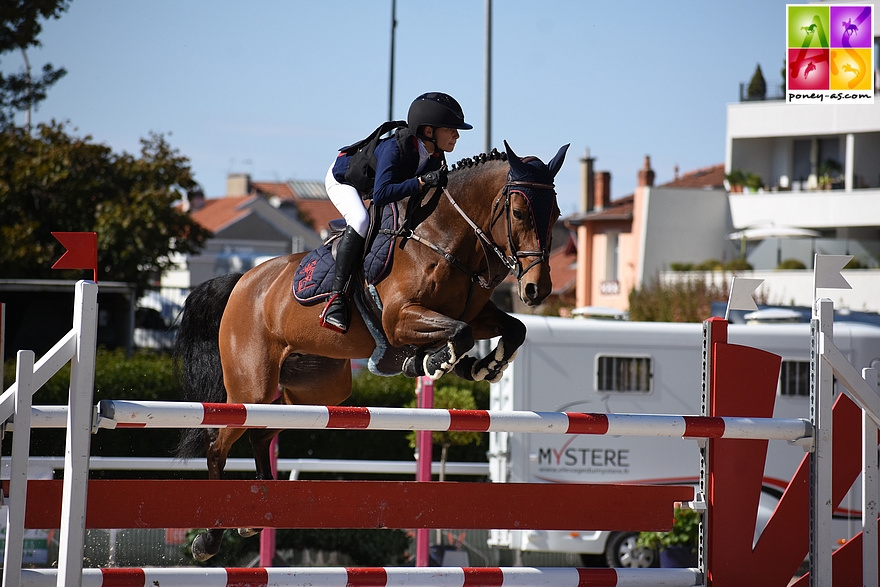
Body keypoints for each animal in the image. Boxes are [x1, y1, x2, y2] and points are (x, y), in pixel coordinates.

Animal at [173, 140, 572, 564]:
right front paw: (432, 360)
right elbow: (458, 335)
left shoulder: (474, 313)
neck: (445, 236)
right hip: (252, 387)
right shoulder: (399, 318)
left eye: (557, 214)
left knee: (262, 434)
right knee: (218, 443)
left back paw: (253, 514)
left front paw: (485, 366)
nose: (537, 289)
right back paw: (210, 538)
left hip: (318, 392)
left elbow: (513, 328)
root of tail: (242, 281)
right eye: (519, 212)